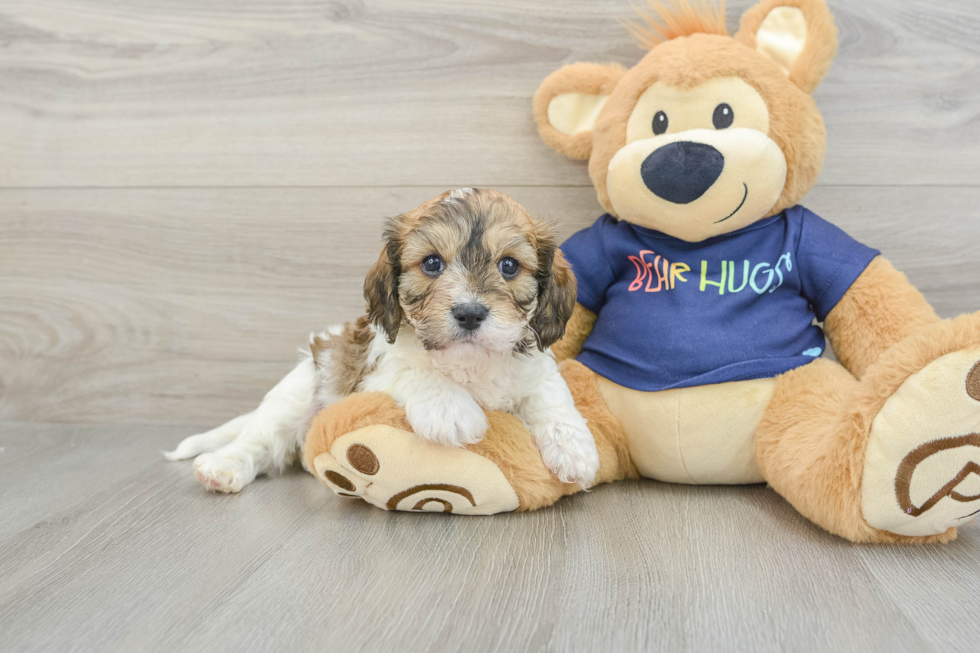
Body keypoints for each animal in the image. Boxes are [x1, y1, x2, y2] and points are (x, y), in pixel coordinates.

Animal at [165, 191, 600, 492]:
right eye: (432, 263)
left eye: (509, 266)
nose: (470, 313)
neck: (468, 361)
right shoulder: (372, 373)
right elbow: (414, 373)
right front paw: (451, 409)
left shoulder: (534, 367)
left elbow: (549, 395)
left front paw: (575, 449)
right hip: (299, 391)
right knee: (260, 439)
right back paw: (222, 467)